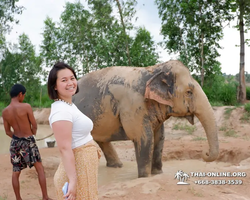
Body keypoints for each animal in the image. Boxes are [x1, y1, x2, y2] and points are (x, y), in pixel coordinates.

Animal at [72, 60, 219, 177]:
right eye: (189, 92)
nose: (205, 153)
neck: (153, 70)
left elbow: (159, 137)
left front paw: (157, 174)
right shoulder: (133, 105)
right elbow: (144, 137)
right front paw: (144, 177)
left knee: (101, 140)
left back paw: (117, 166)